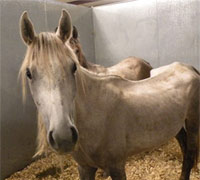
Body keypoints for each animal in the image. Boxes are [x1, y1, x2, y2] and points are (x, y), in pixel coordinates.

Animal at [19, 9, 199, 180]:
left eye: (73, 67)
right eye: (29, 73)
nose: (63, 137)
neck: (95, 113)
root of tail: (189, 68)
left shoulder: (116, 166)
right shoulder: (84, 167)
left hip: (192, 122)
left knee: (190, 154)